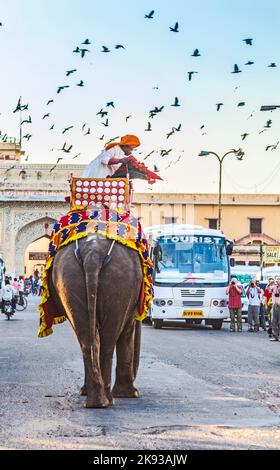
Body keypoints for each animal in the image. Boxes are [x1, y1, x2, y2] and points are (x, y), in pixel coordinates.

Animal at [48, 235, 143, 408]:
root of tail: (93, 253)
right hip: (121, 281)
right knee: (108, 341)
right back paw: (108, 401)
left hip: (68, 279)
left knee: (86, 340)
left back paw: (95, 401)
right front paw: (130, 394)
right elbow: (127, 329)